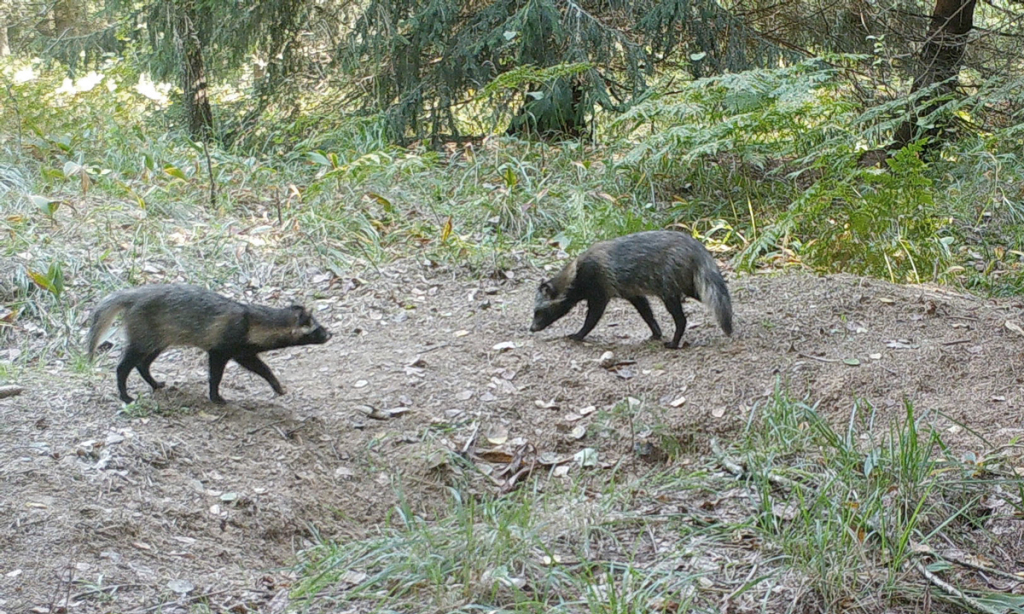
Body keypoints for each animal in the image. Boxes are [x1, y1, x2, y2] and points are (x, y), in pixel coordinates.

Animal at [86, 284, 331, 405]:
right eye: (316, 328)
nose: (330, 333)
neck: (252, 320)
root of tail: (133, 295)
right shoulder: (223, 347)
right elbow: (216, 374)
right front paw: (216, 397)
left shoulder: (243, 351)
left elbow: (261, 368)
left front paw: (277, 386)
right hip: (144, 336)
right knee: (125, 366)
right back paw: (126, 395)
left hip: (158, 339)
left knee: (143, 364)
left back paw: (155, 384)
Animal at [532, 230, 733, 347]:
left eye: (538, 312)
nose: (531, 328)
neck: (574, 274)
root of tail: (694, 247)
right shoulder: (630, 291)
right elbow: (645, 310)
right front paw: (655, 330)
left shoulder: (598, 286)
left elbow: (594, 315)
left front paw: (580, 333)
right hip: (687, 281)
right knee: (708, 293)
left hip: (669, 281)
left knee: (680, 316)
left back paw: (676, 339)